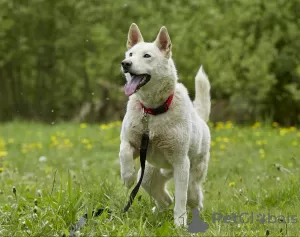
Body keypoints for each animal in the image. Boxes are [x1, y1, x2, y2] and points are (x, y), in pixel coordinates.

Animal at [118, 23, 210, 226]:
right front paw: (127, 177)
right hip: (148, 174)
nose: (125, 63)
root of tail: (201, 119)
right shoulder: (132, 143)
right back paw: (157, 209)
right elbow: (124, 151)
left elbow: (181, 198)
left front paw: (180, 223)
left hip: (191, 175)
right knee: (163, 197)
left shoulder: (181, 162)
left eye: (147, 56)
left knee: (194, 197)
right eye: (130, 54)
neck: (152, 112)